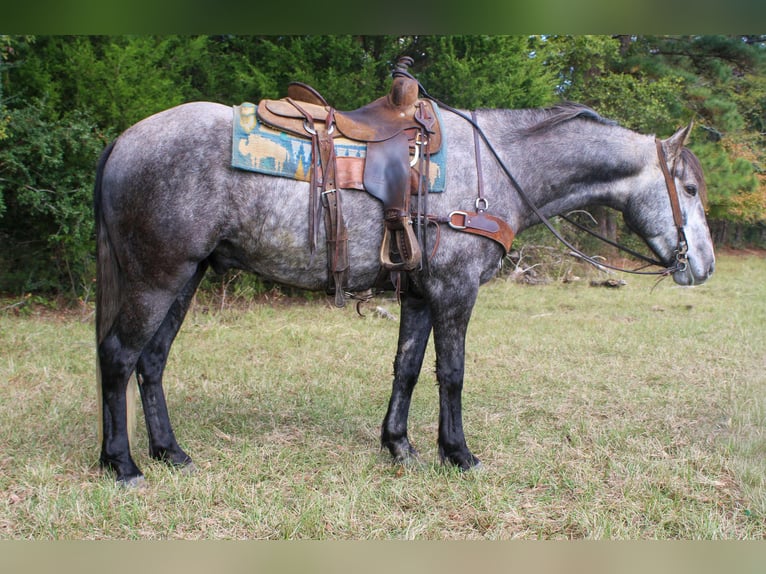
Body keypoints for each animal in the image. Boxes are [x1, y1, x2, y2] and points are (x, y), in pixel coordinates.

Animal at [94, 100, 715, 485]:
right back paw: (122, 464)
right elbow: (452, 374)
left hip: (186, 277)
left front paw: (399, 445)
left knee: (151, 361)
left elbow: (408, 368)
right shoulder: (455, 291)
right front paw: (458, 454)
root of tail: (124, 140)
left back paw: (170, 452)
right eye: (686, 187)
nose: (704, 266)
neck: (494, 169)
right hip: (157, 278)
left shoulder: (419, 294)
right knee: (119, 357)